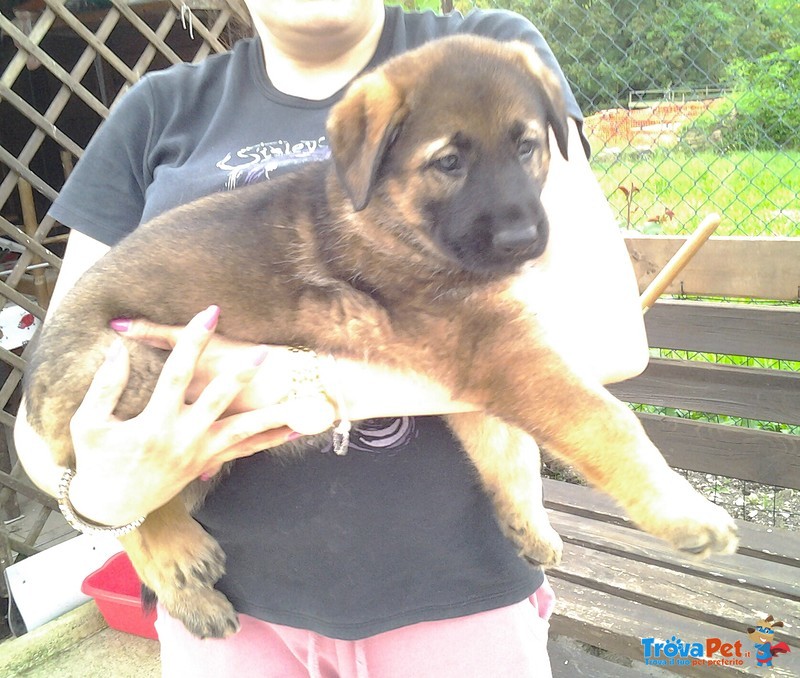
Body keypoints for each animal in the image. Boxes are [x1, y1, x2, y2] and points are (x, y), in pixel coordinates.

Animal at [25, 37, 736, 640]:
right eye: (448, 162)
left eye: (527, 146)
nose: (523, 241)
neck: (393, 220)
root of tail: (32, 376)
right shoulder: (495, 349)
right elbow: (604, 420)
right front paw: (683, 513)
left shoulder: (476, 372)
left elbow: (512, 452)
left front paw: (529, 523)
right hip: (137, 373)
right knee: (116, 506)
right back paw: (182, 569)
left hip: (203, 455)